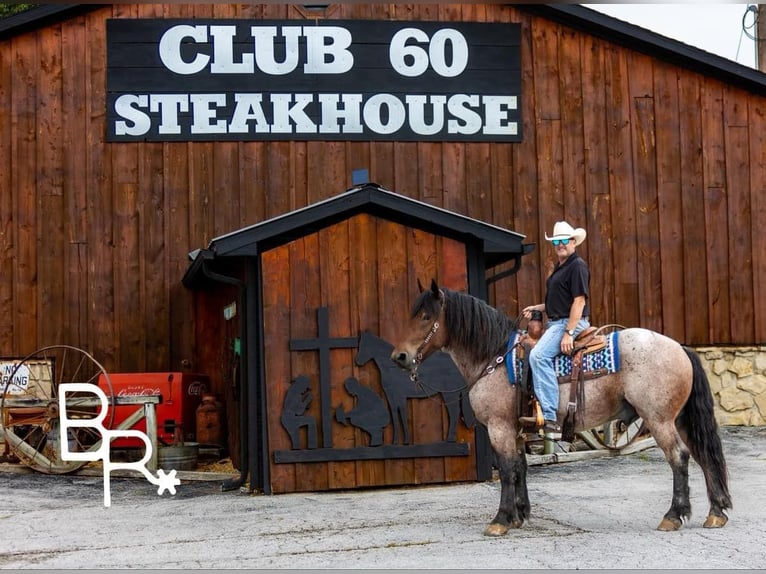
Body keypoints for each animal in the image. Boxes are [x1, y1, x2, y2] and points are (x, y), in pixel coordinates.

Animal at [390, 279, 731, 536]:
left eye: (425, 316)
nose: (399, 357)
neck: (494, 358)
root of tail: (679, 347)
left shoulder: (500, 427)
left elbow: (508, 470)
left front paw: (501, 520)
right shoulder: (516, 430)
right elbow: (520, 467)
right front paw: (520, 515)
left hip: (659, 419)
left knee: (679, 457)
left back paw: (673, 515)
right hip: (680, 419)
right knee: (703, 455)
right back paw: (716, 512)